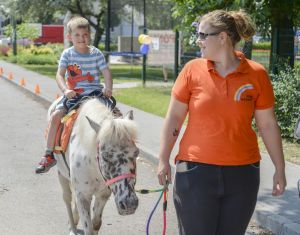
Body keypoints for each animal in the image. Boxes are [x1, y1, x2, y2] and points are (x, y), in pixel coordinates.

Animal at [48, 97, 139, 235]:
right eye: (105, 156)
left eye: (136, 153)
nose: (129, 204)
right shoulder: (83, 196)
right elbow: (88, 228)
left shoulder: (103, 194)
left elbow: (96, 223)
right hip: (61, 175)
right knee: (67, 199)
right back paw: (72, 228)